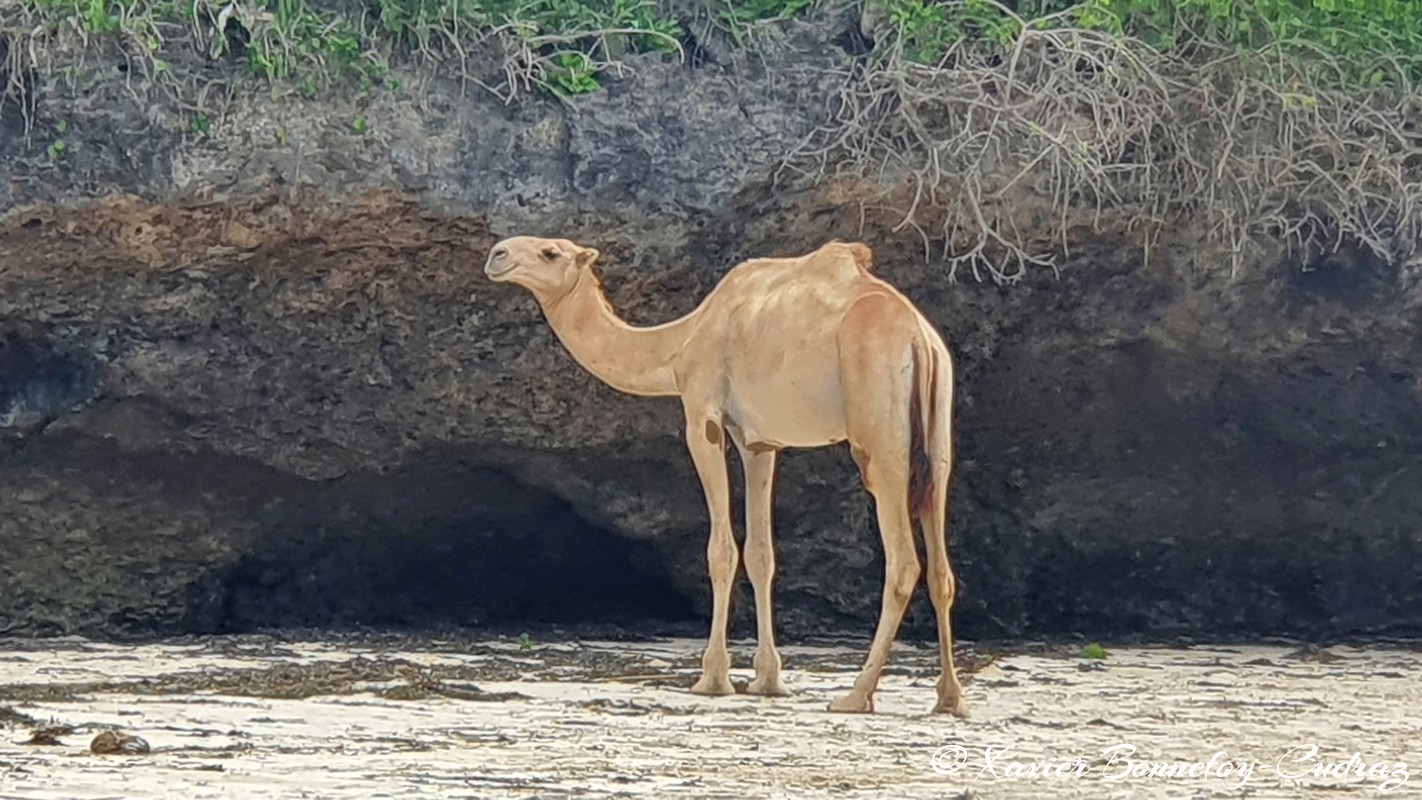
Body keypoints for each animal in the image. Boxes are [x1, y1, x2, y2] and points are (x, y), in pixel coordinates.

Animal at [483, 235, 968, 716]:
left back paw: (855, 695)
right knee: (941, 567)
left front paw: (713, 678)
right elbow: (761, 554)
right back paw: (949, 698)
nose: (497, 254)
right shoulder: (759, 442)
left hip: (879, 434)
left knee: (903, 561)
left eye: (550, 252)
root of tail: (920, 339)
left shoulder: (703, 417)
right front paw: (768, 680)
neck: (680, 344)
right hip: (937, 439)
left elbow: (721, 550)